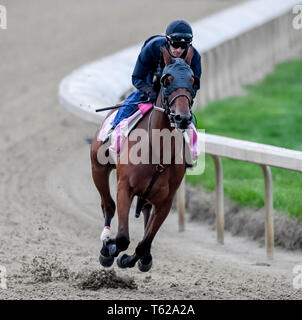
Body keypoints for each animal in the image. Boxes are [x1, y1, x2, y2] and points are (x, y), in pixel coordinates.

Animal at [90, 46, 198, 272]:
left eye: (193, 80)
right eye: (167, 79)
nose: (182, 118)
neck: (157, 151)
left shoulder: (166, 201)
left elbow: (144, 243)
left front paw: (131, 259)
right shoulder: (124, 187)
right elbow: (122, 238)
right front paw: (110, 248)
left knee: (146, 212)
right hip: (98, 169)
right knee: (108, 205)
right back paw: (106, 243)